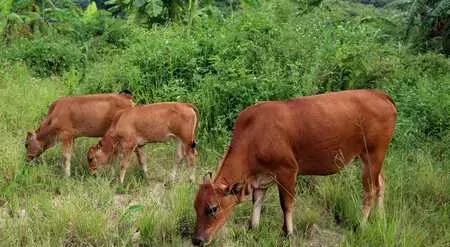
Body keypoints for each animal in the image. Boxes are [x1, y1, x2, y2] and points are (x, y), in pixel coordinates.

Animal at [192, 89, 396, 245]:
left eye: (213, 208)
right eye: (195, 206)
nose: (197, 240)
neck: (254, 134)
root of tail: (380, 94)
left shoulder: (288, 171)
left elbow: (286, 204)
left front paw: (288, 233)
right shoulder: (261, 178)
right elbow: (257, 201)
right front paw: (253, 228)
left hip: (373, 154)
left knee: (370, 190)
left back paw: (361, 226)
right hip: (372, 158)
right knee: (381, 183)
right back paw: (381, 218)